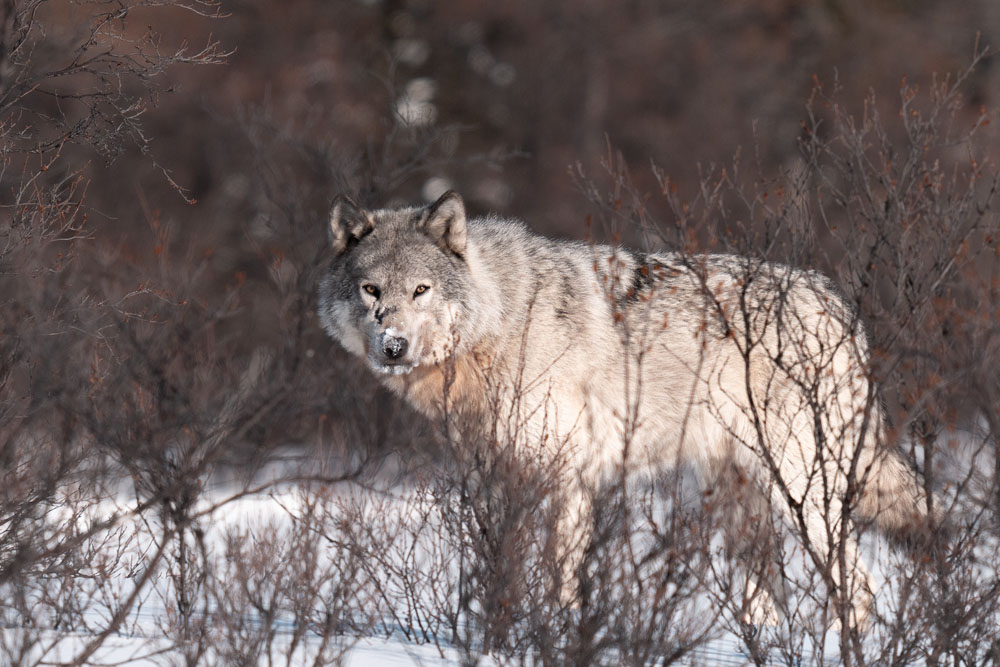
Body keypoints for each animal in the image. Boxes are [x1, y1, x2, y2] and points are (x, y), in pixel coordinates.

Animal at [318, 190, 928, 628]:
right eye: (372, 291)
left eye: (421, 290)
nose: (393, 346)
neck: (500, 323)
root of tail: (837, 303)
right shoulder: (489, 479)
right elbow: (497, 567)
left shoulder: (565, 478)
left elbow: (560, 577)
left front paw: (556, 634)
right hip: (739, 495)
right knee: (768, 595)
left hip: (802, 491)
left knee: (860, 587)